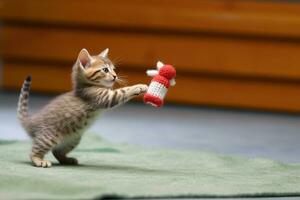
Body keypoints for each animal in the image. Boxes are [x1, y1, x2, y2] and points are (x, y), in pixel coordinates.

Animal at [17, 48, 148, 167]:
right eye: (105, 70)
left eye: (113, 69)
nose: (115, 76)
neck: (86, 86)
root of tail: (31, 122)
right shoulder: (105, 97)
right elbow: (122, 91)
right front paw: (139, 87)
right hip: (49, 138)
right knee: (34, 152)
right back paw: (39, 160)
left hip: (73, 139)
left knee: (57, 151)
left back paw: (67, 160)